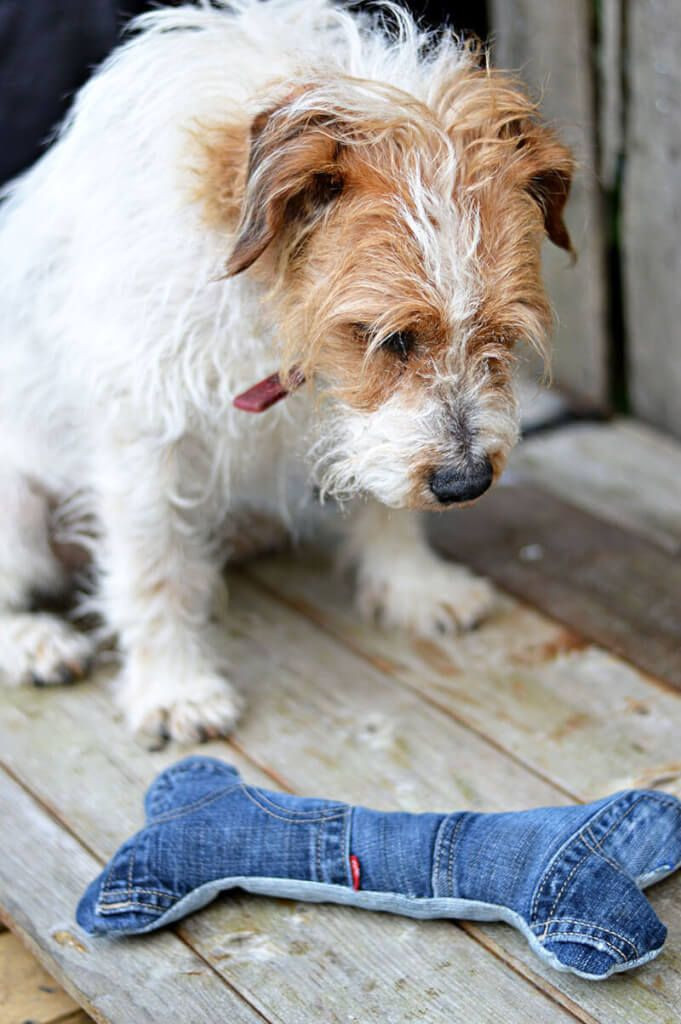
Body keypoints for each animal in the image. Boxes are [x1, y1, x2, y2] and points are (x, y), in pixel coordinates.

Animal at [0, 0, 573, 741]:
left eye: (499, 331)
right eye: (388, 338)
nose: (465, 484)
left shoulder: (355, 419)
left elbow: (385, 499)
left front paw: (413, 585)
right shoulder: (143, 440)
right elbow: (153, 570)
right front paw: (173, 686)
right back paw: (32, 642)